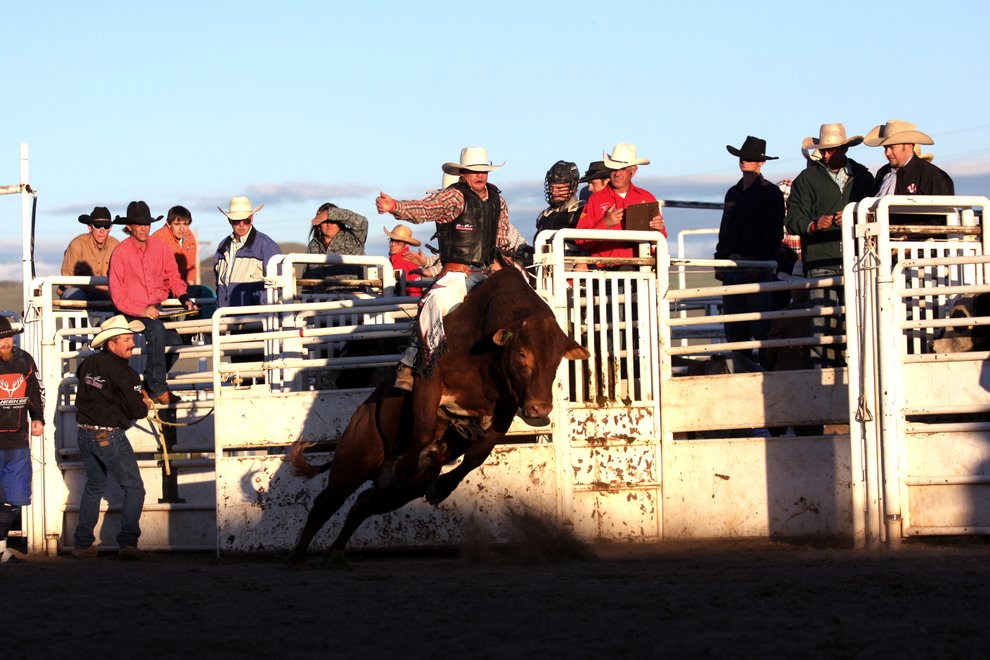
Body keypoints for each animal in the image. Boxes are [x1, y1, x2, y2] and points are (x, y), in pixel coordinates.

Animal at [286, 266, 588, 564]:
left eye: (557, 359)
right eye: (522, 354)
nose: (540, 409)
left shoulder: (506, 408)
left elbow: (477, 455)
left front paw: (441, 489)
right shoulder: (430, 379)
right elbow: (423, 430)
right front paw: (405, 467)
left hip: (402, 490)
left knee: (362, 504)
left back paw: (335, 553)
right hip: (355, 460)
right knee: (326, 502)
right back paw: (297, 555)